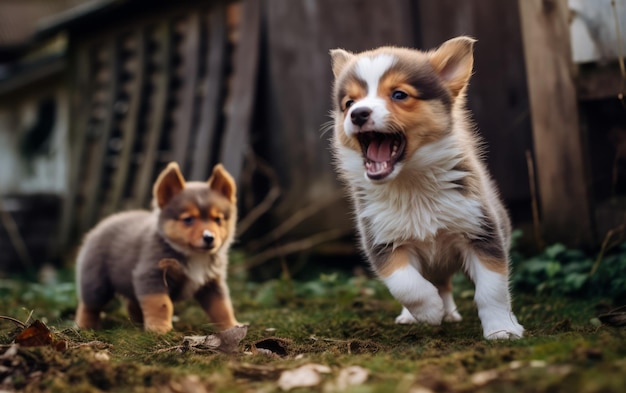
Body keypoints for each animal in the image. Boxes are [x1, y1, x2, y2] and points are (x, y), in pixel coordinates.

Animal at [73, 161, 239, 332]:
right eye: (188, 219)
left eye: (218, 219)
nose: (209, 238)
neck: (194, 256)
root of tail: (100, 225)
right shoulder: (151, 275)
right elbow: (162, 304)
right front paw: (160, 328)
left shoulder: (212, 283)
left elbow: (222, 307)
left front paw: (232, 327)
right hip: (96, 283)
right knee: (89, 306)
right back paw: (84, 326)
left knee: (132, 304)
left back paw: (137, 325)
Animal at [332, 36, 520, 336]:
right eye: (349, 102)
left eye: (399, 95)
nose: (358, 114)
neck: (411, 182)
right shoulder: (382, 242)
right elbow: (407, 285)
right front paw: (430, 311)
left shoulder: (482, 232)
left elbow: (492, 290)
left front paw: (502, 330)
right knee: (436, 283)